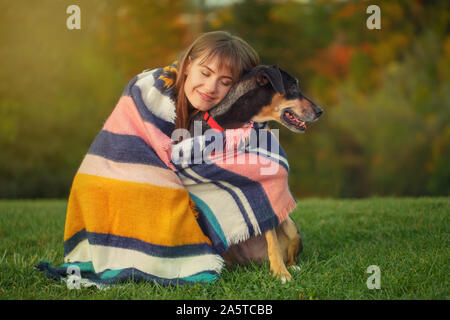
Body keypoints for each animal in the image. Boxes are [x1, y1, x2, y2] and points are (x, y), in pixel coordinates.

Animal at [187, 65, 324, 282]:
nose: (320, 111)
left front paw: (280, 273)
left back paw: (291, 266)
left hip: (290, 225)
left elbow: (272, 240)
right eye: (293, 87)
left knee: (290, 253)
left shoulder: (259, 189)